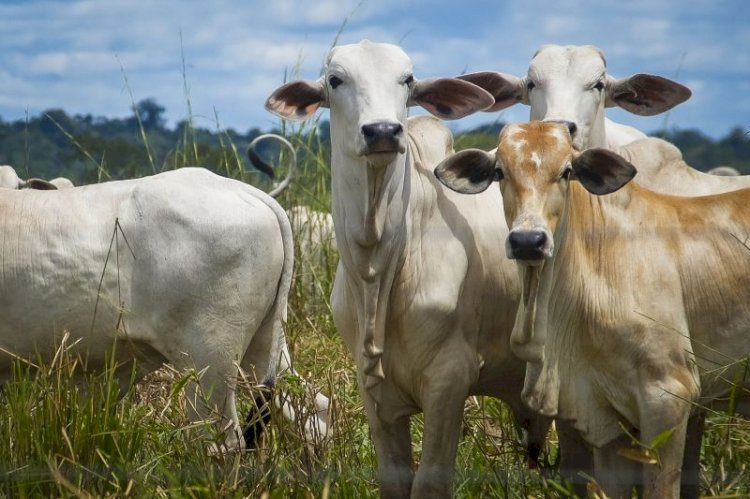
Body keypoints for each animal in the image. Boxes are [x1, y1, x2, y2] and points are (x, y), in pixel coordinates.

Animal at [263, 40, 550, 498]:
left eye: (408, 79)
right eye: (335, 80)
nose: (382, 131)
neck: (379, 268)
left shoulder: (450, 381)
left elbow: (430, 480)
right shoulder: (372, 389)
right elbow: (394, 476)